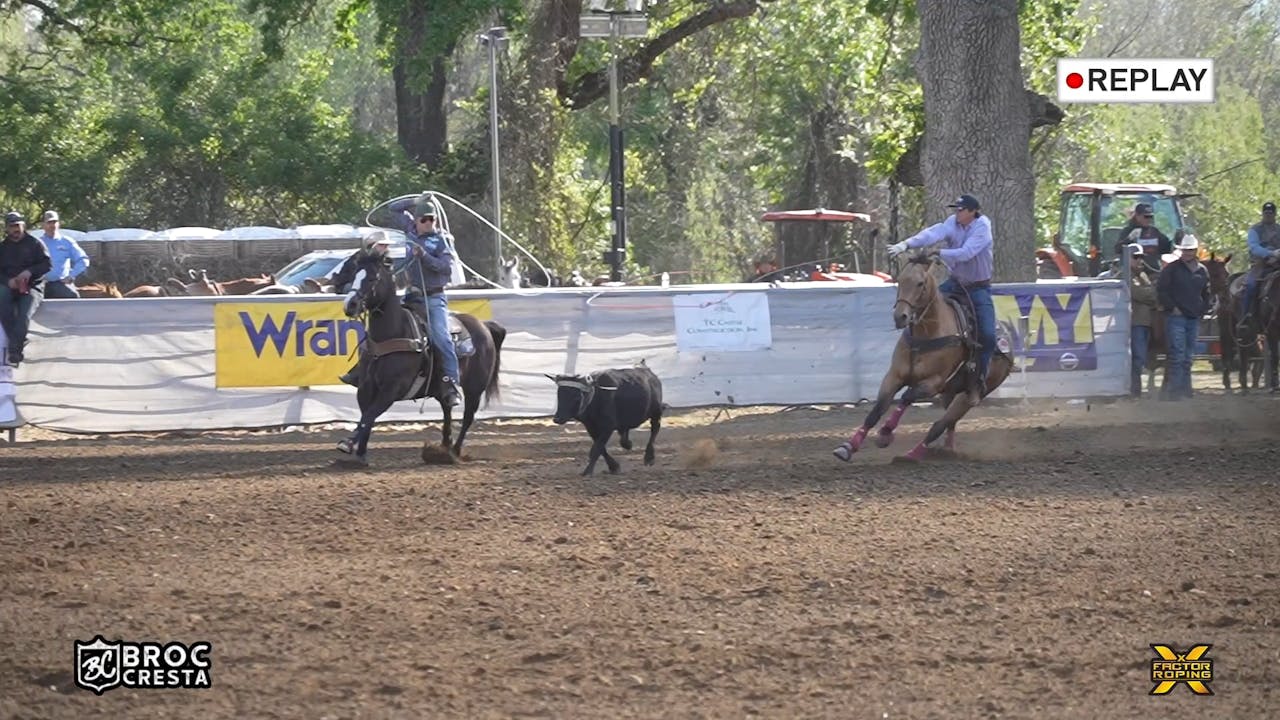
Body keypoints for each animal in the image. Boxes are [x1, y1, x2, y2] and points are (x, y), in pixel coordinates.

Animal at [335, 254, 504, 461]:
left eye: (373, 278)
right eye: (354, 276)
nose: (349, 305)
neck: (392, 334)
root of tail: (484, 326)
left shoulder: (392, 390)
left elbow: (369, 416)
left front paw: (348, 444)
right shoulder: (365, 388)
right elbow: (366, 416)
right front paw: (360, 454)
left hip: (475, 388)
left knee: (467, 417)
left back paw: (454, 452)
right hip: (442, 389)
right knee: (447, 411)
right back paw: (443, 448)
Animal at [834, 252, 1013, 461]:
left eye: (920, 283)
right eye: (900, 280)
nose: (900, 317)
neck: (927, 334)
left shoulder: (932, 383)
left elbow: (906, 397)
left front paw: (885, 433)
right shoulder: (894, 376)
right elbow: (876, 411)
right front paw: (848, 447)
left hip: (969, 396)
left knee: (940, 425)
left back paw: (912, 455)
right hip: (949, 394)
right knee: (948, 424)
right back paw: (946, 450)